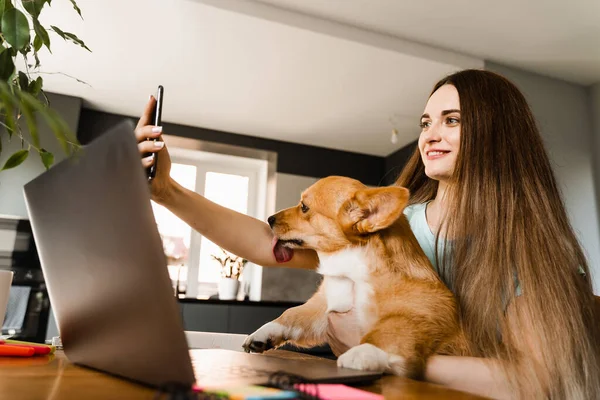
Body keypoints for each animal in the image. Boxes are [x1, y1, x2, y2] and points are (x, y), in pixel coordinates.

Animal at [241, 177, 466, 378]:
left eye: (304, 207)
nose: (269, 219)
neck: (349, 273)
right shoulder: (323, 308)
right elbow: (291, 314)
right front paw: (264, 332)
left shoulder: (421, 315)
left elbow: (390, 330)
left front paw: (364, 351)